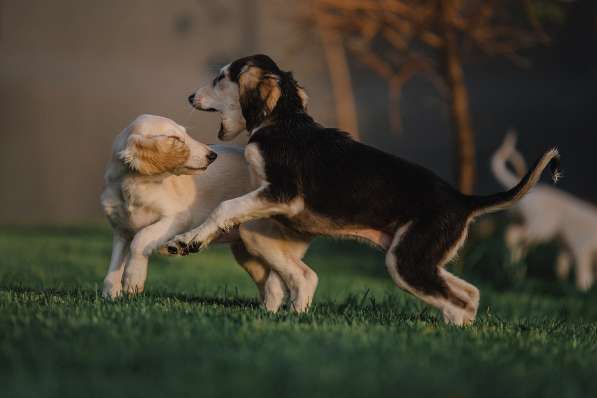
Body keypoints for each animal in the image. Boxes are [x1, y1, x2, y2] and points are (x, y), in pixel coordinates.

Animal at [100, 113, 292, 306]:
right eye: (175, 139)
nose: (213, 155)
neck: (134, 186)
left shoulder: (177, 218)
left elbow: (141, 238)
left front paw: (133, 280)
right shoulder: (121, 231)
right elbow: (114, 264)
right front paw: (111, 295)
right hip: (245, 252)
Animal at [165, 54, 560, 324]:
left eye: (221, 78)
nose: (188, 96)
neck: (283, 120)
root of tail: (463, 199)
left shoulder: (283, 193)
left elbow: (226, 207)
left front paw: (188, 240)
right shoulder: (271, 199)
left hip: (407, 262)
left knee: (457, 301)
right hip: (419, 257)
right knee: (470, 294)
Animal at [488, 132, 596, 290]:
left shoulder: (567, 248)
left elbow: (562, 264)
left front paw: (562, 280)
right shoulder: (581, 247)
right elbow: (583, 272)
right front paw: (583, 288)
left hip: (523, 222)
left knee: (516, 240)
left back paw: (516, 270)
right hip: (541, 227)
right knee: (512, 235)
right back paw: (514, 268)